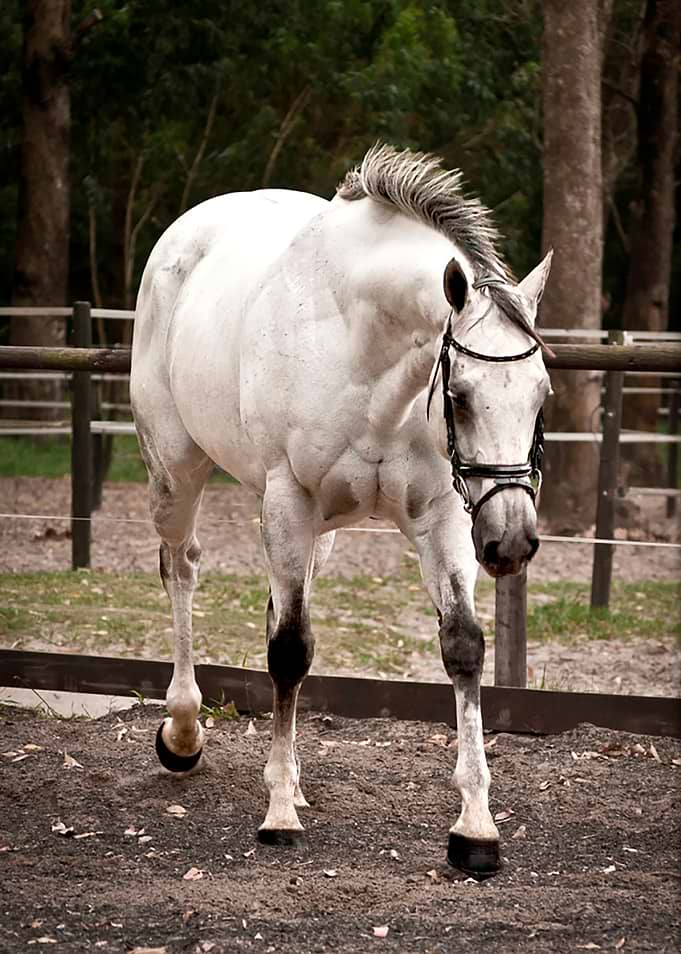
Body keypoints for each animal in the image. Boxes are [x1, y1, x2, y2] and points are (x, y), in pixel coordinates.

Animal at [130, 144, 553, 878]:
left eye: (541, 394)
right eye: (461, 395)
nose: (509, 543)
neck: (368, 353)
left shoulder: (441, 517)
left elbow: (462, 647)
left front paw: (475, 828)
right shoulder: (288, 500)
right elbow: (289, 651)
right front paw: (277, 815)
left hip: (315, 530)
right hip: (177, 473)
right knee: (181, 569)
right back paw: (183, 733)